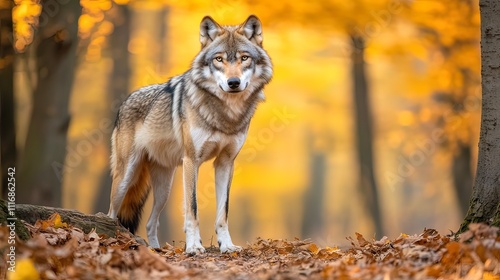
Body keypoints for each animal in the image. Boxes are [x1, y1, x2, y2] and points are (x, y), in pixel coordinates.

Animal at [107, 15, 274, 254]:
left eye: (244, 58)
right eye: (219, 59)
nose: (233, 83)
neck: (226, 114)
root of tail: (125, 101)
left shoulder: (225, 163)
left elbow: (223, 212)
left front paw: (227, 246)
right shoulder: (191, 161)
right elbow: (192, 209)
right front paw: (194, 247)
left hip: (164, 189)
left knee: (150, 222)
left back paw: (156, 250)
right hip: (125, 177)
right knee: (110, 213)